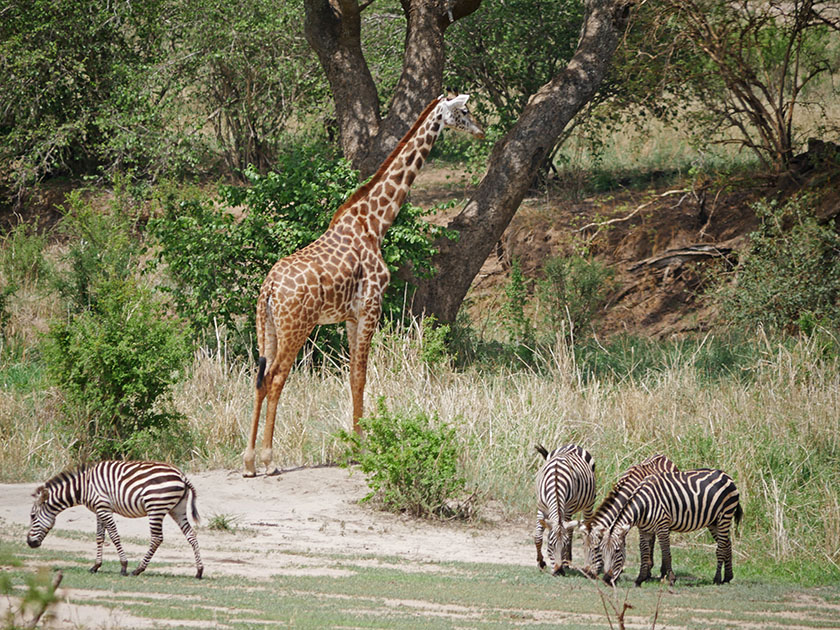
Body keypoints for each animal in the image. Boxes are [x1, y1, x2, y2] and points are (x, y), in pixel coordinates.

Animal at [27, 462, 204, 580]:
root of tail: (181, 475)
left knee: (157, 538)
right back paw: (199, 571)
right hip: (177, 509)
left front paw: (124, 566)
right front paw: (95, 566)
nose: (30, 543)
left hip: (155, 508)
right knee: (191, 534)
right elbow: (100, 537)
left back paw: (138, 570)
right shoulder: (99, 510)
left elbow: (114, 536)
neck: (83, 488)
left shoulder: (104, 508)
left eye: (32, 516)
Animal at [243, 95, 482, 478]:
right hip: (297, 326)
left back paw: (249, 462)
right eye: (463, 111)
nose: (480, 131)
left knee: (259, 378)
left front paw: (356, 444)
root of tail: (269, 289)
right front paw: (363, 447)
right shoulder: (371, 306)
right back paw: (268, 459)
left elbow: (353, 376)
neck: (375, 223)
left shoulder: (351, 316)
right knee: (276, 378)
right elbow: (361, 376)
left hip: (267, 327)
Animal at [536, 444, 592, 576]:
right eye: (550, 545)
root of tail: (573, 445)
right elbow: (538, 536)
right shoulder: (541, 507)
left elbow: (569, 537)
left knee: (582, 533)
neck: (556, 484)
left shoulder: (567, 508)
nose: (558, 572)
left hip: (588, 504)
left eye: (564, 546)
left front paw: (564, 561)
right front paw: (541, 562)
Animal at [600, 470, 744, 588]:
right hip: (713, 522)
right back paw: (728, 577)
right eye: (602, 551)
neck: (645, 505)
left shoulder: (662, 526)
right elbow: (644, 554)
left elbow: (666, 553)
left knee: (721, 548)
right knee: (727, 543)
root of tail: (726, 475)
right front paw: (640, 579)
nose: (606, 580)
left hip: (724, 515)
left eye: (617, 551)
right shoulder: (644, 530)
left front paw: (671, 579)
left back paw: (717, 579)